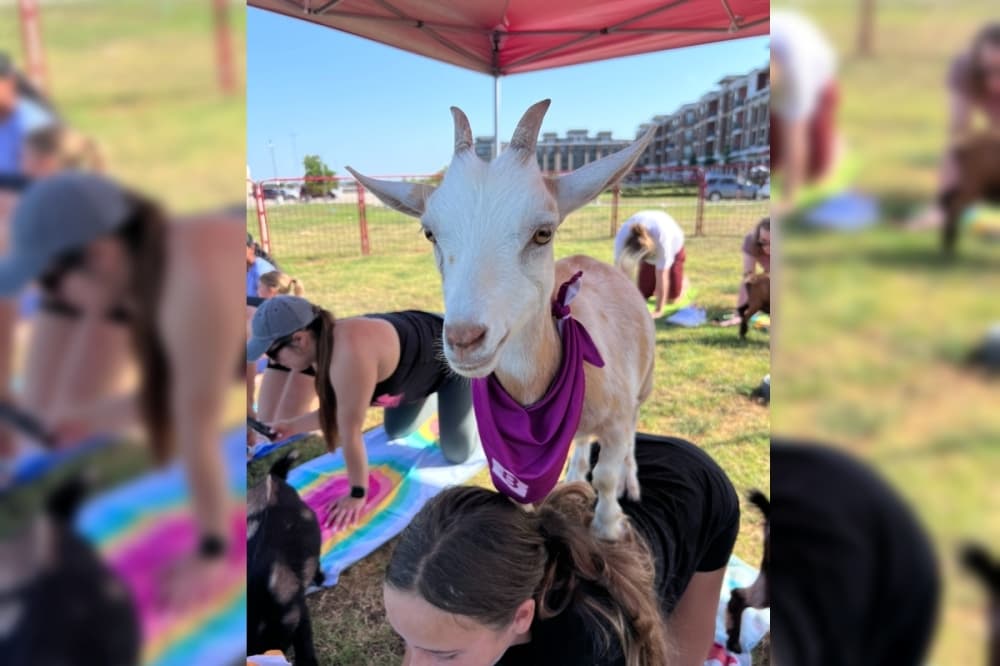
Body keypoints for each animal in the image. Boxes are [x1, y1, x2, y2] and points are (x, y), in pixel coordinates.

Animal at [348, 100, 656, 540]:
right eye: (429, 234)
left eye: (543, 233)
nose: (464, 340)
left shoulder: (615, 419)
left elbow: (608, 474)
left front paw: (608, 527)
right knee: (583, 444)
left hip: (643, 386)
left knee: (633, 429)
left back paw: (629, 482)